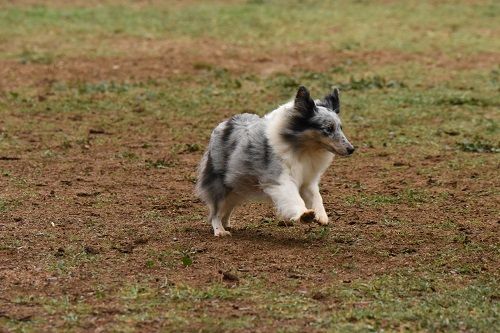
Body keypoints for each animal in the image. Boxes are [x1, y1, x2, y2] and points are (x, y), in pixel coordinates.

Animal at [195, 85, 356, 236]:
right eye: (328, 128)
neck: (302, 148)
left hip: (237, 185)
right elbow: (293, 197)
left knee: (227, 207)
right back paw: (220, 231)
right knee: (216, 212)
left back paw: (227, 224)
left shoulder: (307, 180)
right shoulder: (280, 178)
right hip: (220, 184)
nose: (351, 149)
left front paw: (321, 216)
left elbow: (317, 196)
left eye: (340, 128)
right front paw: (304, 214)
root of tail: (224, 124)